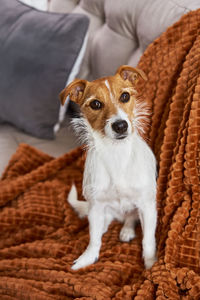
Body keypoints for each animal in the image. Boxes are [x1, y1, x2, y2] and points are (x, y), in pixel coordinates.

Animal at [60, 65, 157, 272]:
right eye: (96, 104)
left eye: (125, 96)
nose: (120, 125)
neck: (116, 154)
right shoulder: (96, 206)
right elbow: (94, 239)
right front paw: (87, 259)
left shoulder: (147, 206)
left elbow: (148, 239)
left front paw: (151, 264)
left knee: (132, 217)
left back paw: (127, 230)